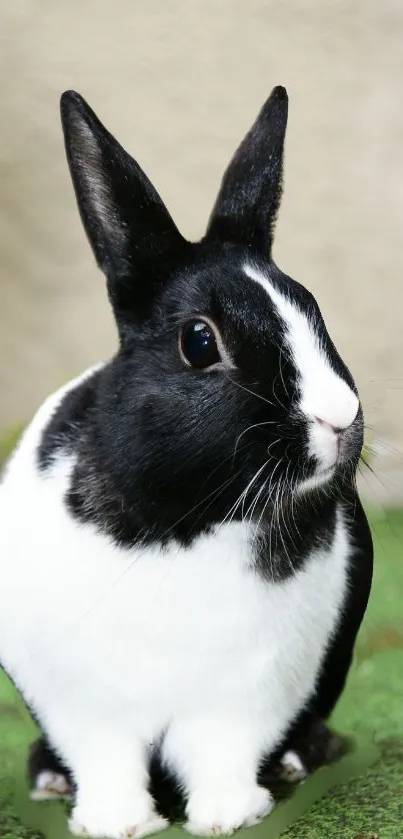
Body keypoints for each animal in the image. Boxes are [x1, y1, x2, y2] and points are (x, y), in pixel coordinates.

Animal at [0, 87, 374, 839]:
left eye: (312, 308)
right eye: (200, 342)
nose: (340, 418)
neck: (187, 519)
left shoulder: (247, 696)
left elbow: (220, 754)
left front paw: (228, 815)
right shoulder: (85, 704)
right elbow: (107, 760)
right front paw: (116, 821)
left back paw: (298, 762)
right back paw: (49, 779)